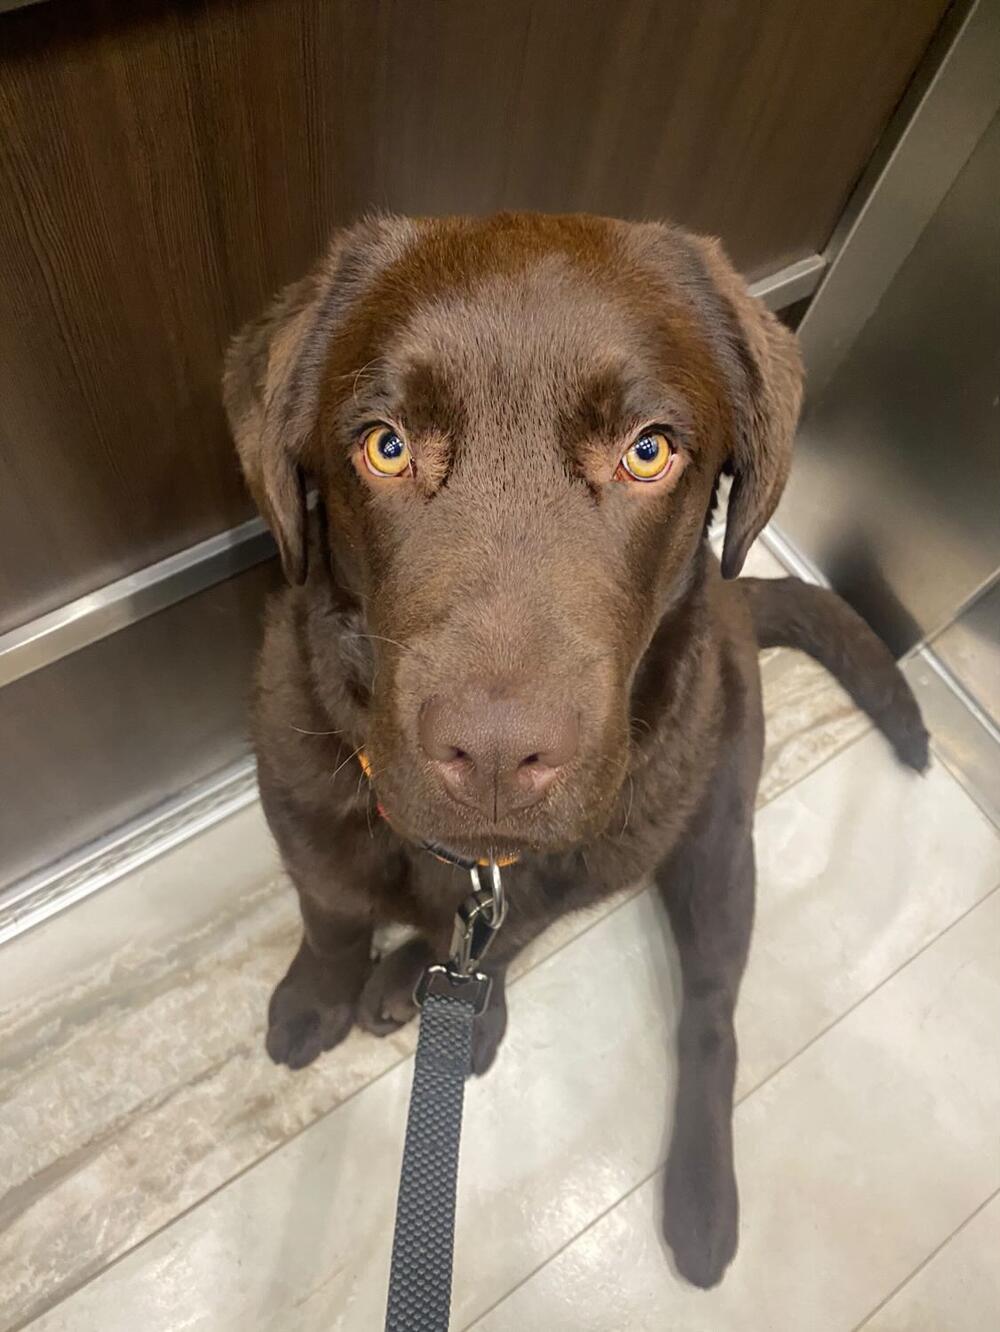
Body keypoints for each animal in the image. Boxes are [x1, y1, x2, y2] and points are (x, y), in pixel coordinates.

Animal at [223, 212, 927, 1288]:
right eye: (385, 447)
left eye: (648, 452)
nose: (497, 756)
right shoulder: (304, 801)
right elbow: (332, 911)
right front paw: (316, 996)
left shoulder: (581, 867)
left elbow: (510, 938)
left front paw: (468, 1013)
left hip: (712, 834)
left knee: (711, 1016)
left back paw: (699, 1198)